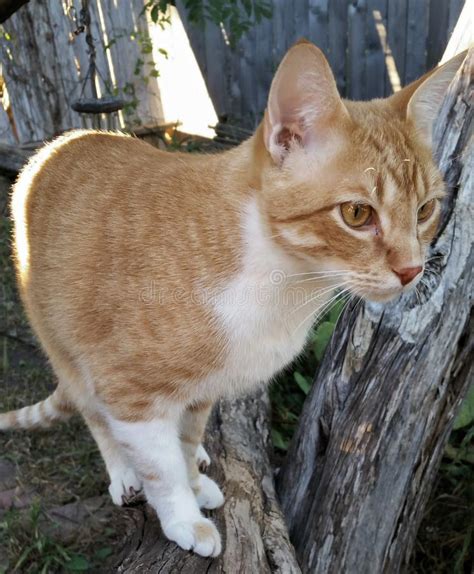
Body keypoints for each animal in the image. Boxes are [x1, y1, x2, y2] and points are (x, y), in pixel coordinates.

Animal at [0, 41, 464, 560]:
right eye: (357, 214)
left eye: (426, 210)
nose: (412, 270)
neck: (281, 282)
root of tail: (60, 142)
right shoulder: (127, 389)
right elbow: (160, 466)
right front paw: (184, 518)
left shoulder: (205, 386)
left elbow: (184, 442)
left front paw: (195, 479)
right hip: (64, 347)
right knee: (92, 413)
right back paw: (122, 473)